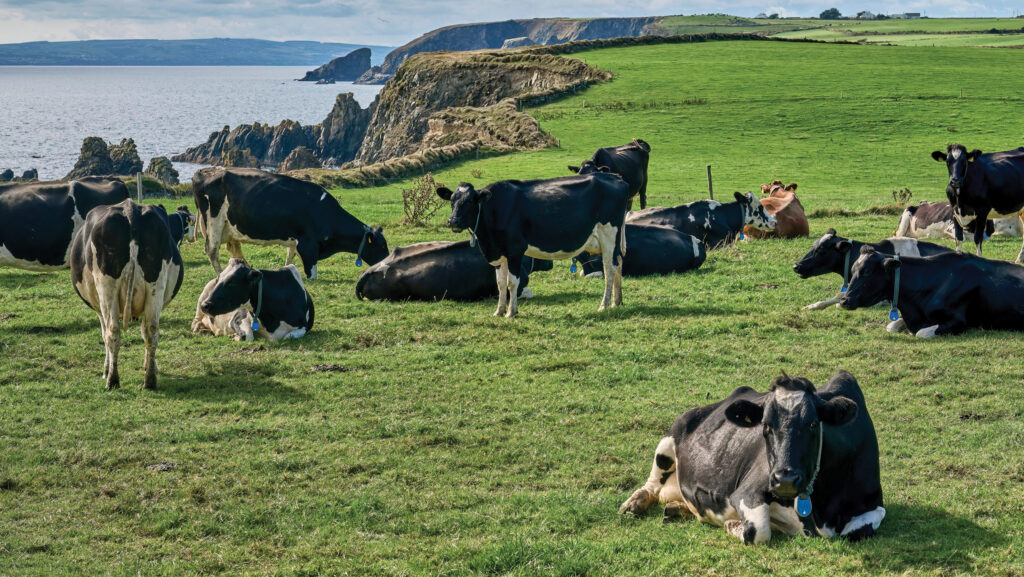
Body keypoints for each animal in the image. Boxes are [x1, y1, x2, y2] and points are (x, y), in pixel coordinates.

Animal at [70, 200, 184, 389]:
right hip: (155, 285)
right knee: (152, 330)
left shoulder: (99, 309)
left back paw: (112, 379)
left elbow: (104, 334)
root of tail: (130, 208)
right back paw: (149, 380)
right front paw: (151, 366)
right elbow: (145, 333)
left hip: (107, 289)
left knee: (112, 331)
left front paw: (106, 368)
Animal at [192, 167, 388, 279]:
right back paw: (220, 275)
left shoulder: (296, 240)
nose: (388, 262)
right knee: (212, 250)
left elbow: (289, 258)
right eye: (380, 246)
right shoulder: (308, 244)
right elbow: (312, 273)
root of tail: (204, 172)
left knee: (234, 249)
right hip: (214, 221)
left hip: (229, 227)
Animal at [437, 173, 630, 317]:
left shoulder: (515, 250)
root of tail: (616, 178)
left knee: (610, 269)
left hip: (608, 234)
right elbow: (500, 283)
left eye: (470, 201)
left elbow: (512, 283)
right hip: (614, 240)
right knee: (619, 262)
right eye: (452, 200)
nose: (452, 221)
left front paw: (511, 312)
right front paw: (499, 311)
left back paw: (604, 305)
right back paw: (617, 301)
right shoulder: (499, 252)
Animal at [620, 371, 884, 545]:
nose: (784, 480)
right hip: (671, 435)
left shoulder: (874, 502)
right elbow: (759, 531)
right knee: (652, 484)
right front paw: (732, 524)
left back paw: (678, 508)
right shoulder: (747, 492)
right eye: (765, 426)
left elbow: (858, 531)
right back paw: (634, 503)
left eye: (812, 424)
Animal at [840, 246, 1024, 338]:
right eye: (853, 269)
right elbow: (891, 325)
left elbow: (921, 333)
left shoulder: (958, 320)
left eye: (867, 272)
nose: (844, 300)